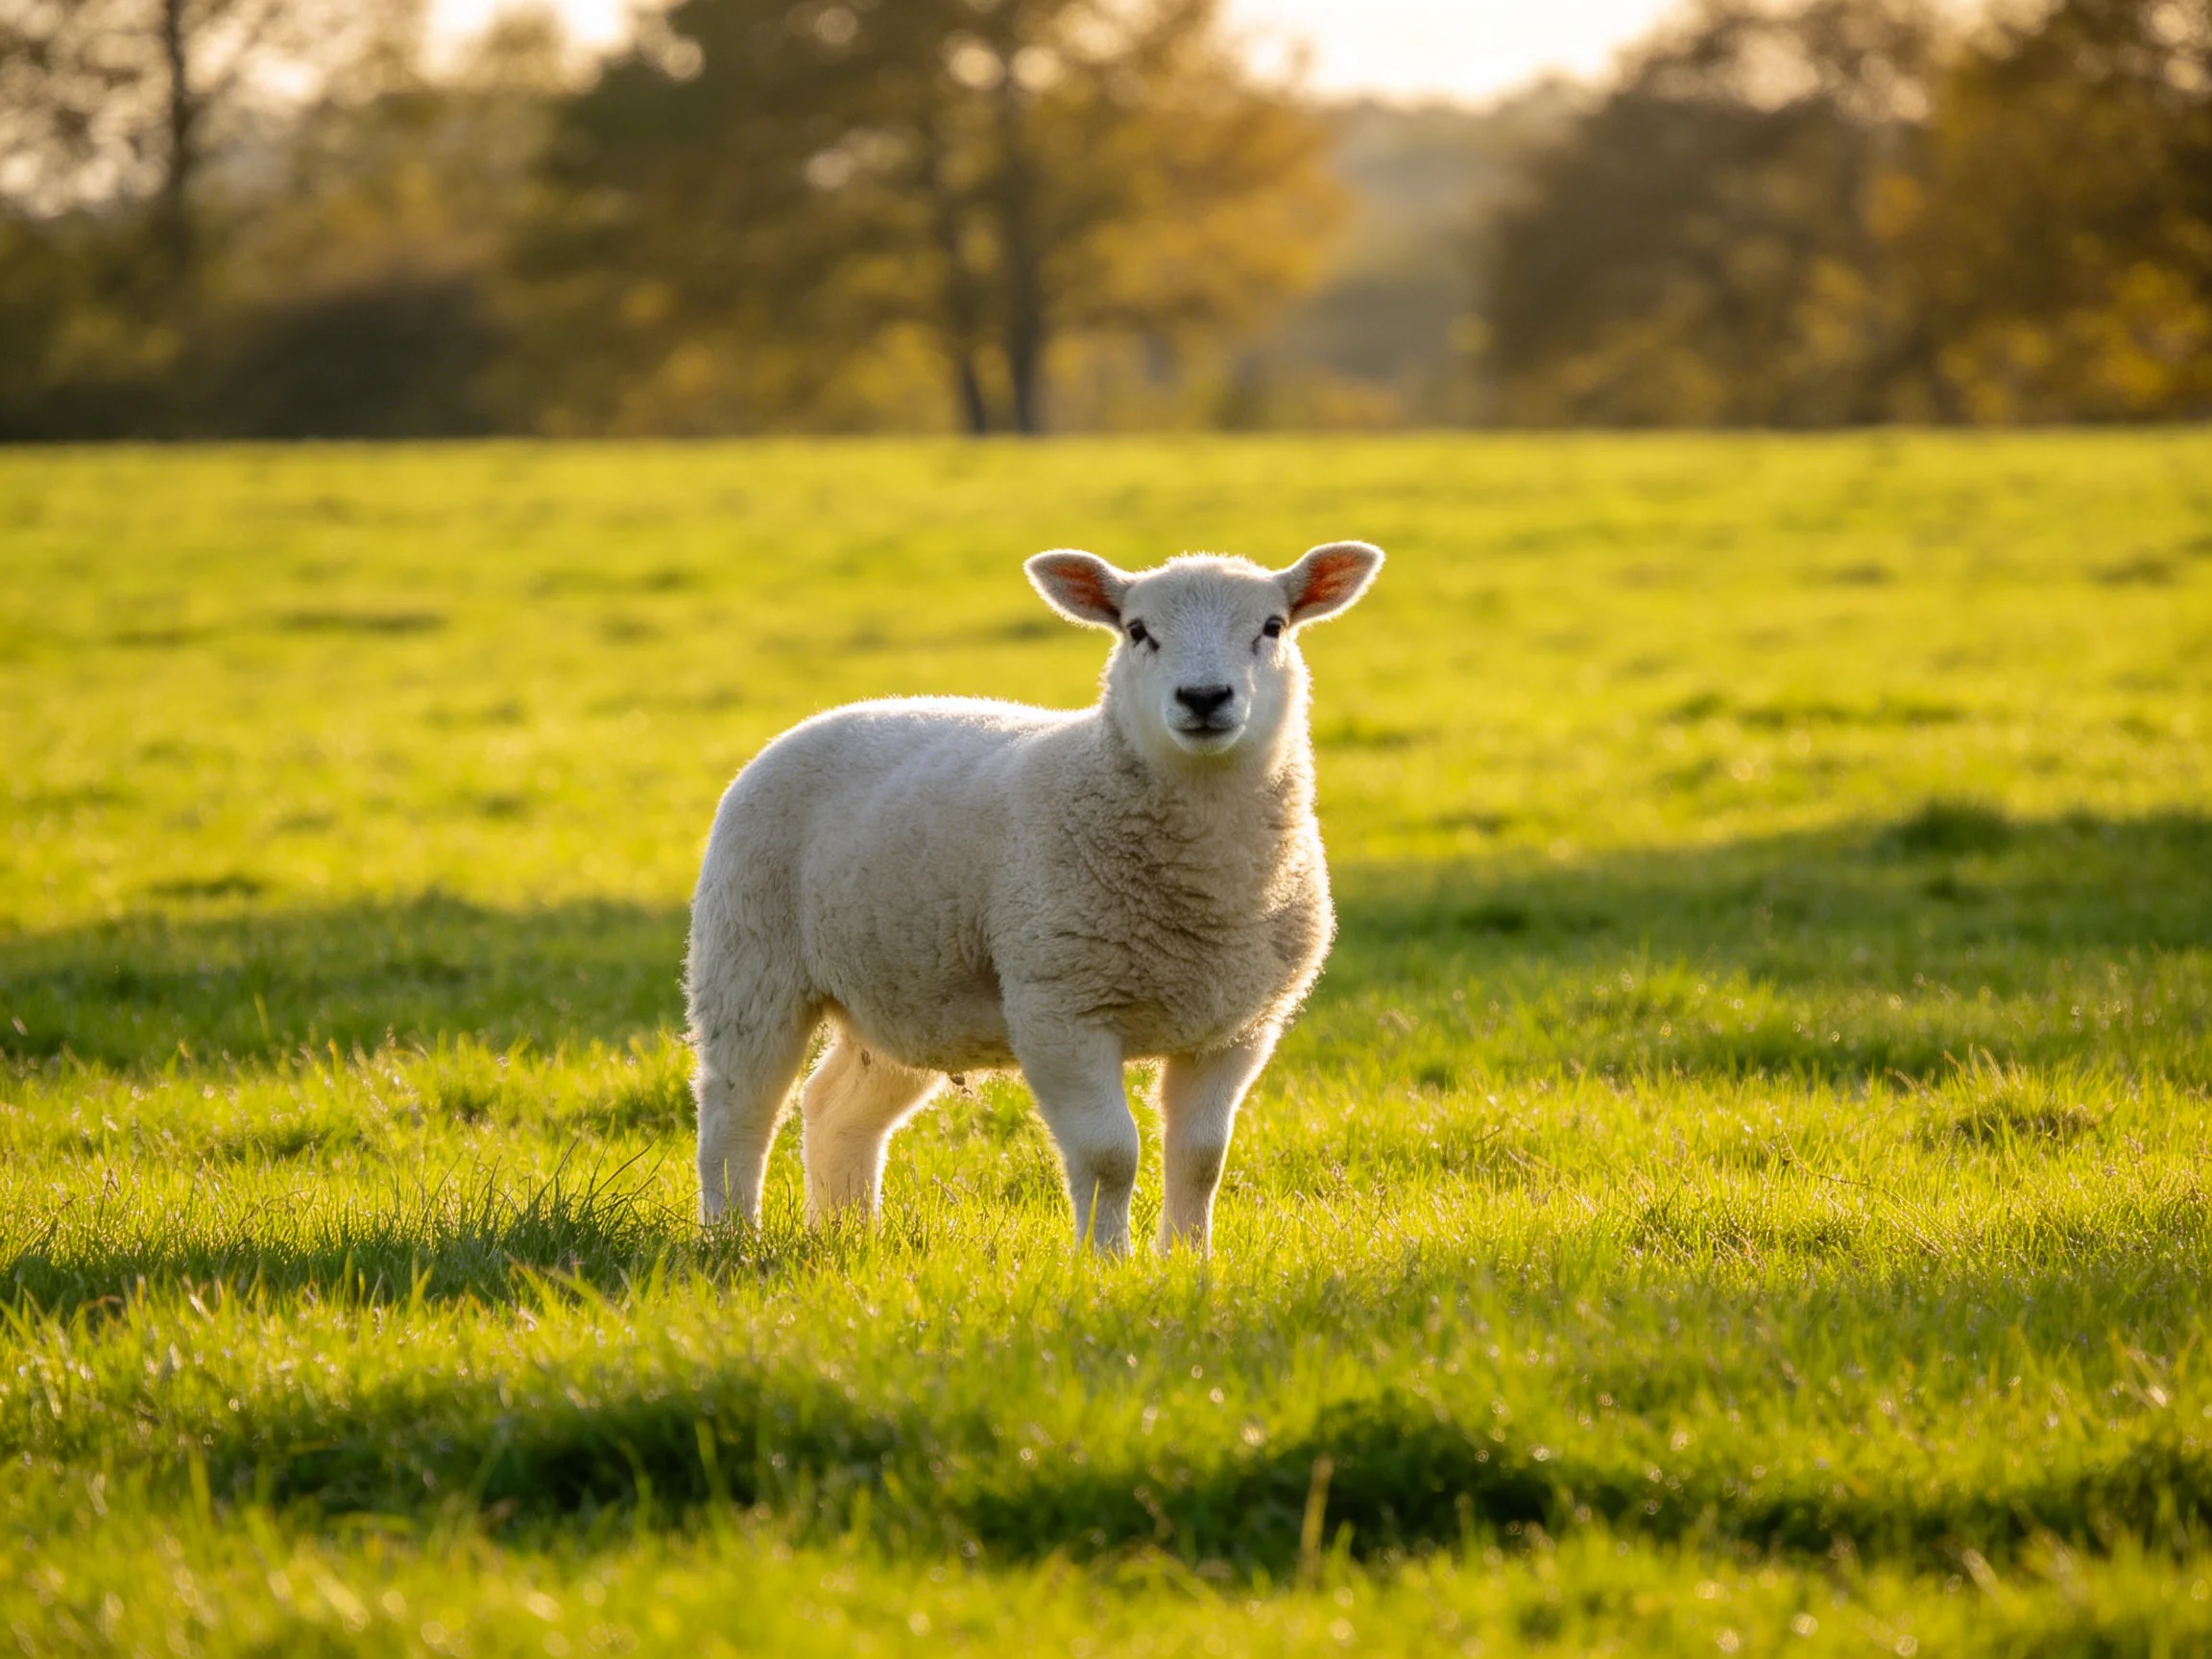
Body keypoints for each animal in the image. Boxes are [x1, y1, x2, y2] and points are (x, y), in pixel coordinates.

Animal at [685, 539, 1383, 1254]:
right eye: (1138, 631)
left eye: (1273, 627)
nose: (1204, 696)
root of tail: (816, 721)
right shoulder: (1060, 1009)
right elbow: (1110, 1154)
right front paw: (1106, 1260)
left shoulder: (1235, 1029)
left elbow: (1201, 1158)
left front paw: (1189, 1259)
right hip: (749, 959)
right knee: (735, 1113)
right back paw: (732, 1235)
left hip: (904, 995)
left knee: (833, 1107)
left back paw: (850, 1234)